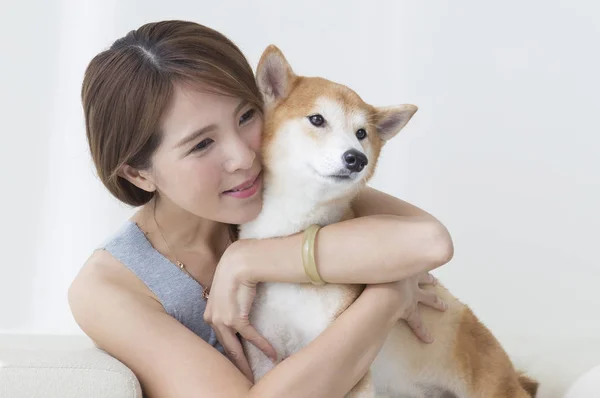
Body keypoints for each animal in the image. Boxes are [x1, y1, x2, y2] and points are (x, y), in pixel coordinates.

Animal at [239, 45, 540, 396]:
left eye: (361, 133)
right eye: (317, 119)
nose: (356, 158)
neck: (290, 233)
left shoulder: (345, 363)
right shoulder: (264, 354)